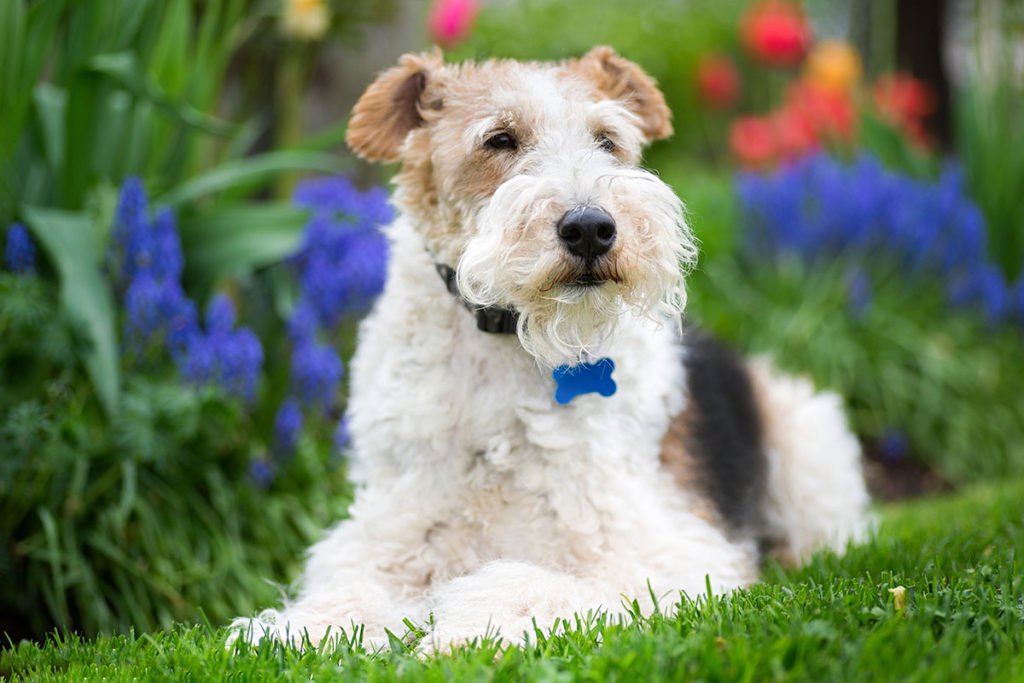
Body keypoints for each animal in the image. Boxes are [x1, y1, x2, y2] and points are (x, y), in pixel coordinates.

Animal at [234, 46, 872, 651]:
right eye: (499, 139)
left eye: (608, 140)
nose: (591, 228)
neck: (506, 348)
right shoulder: (391, 529)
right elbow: (351, 588)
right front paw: (293, 629)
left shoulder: (662, 551)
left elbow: (530, 584)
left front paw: (460, 632)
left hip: (805, 445)